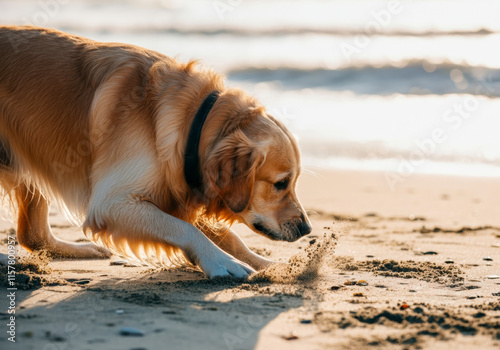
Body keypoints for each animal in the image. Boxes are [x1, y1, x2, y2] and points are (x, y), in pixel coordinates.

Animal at [0, 26, 310, 278]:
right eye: (280, 183)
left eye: (293, 182)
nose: (307, 229)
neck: (194, 122)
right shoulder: (112, 203)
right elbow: (184, 228)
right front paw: (222, 262)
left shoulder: (180, 188)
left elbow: (226, 236)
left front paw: (269, 266)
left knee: (33, 235)